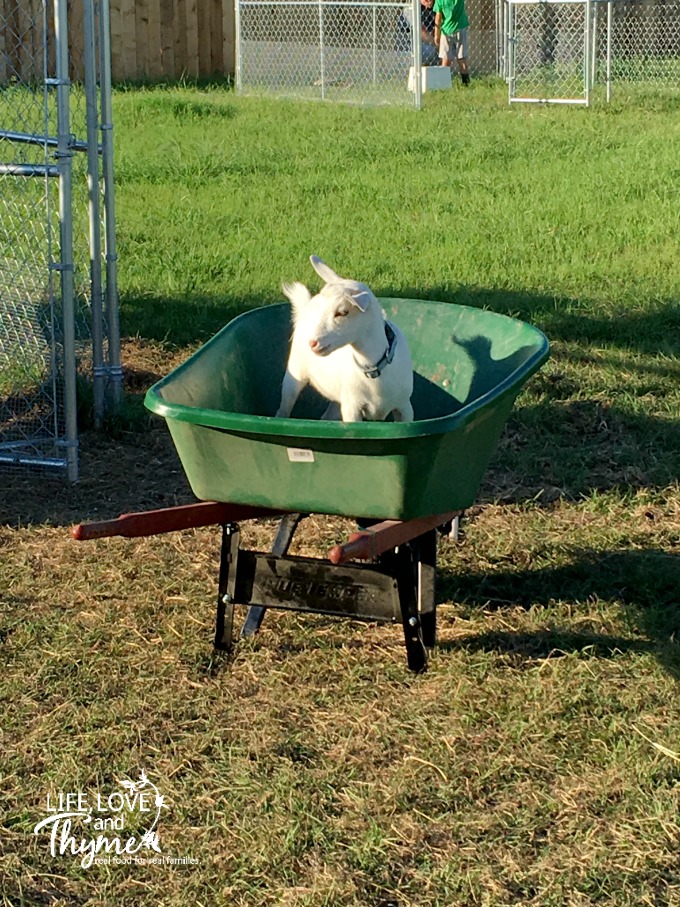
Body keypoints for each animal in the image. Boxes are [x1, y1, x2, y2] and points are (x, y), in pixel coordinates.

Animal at [272, 258, 412, 424]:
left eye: (343, 312)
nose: (313, 343)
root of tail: (306, 305)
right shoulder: (352, 409)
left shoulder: (405, 407)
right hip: (295, 371)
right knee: (284, 408)